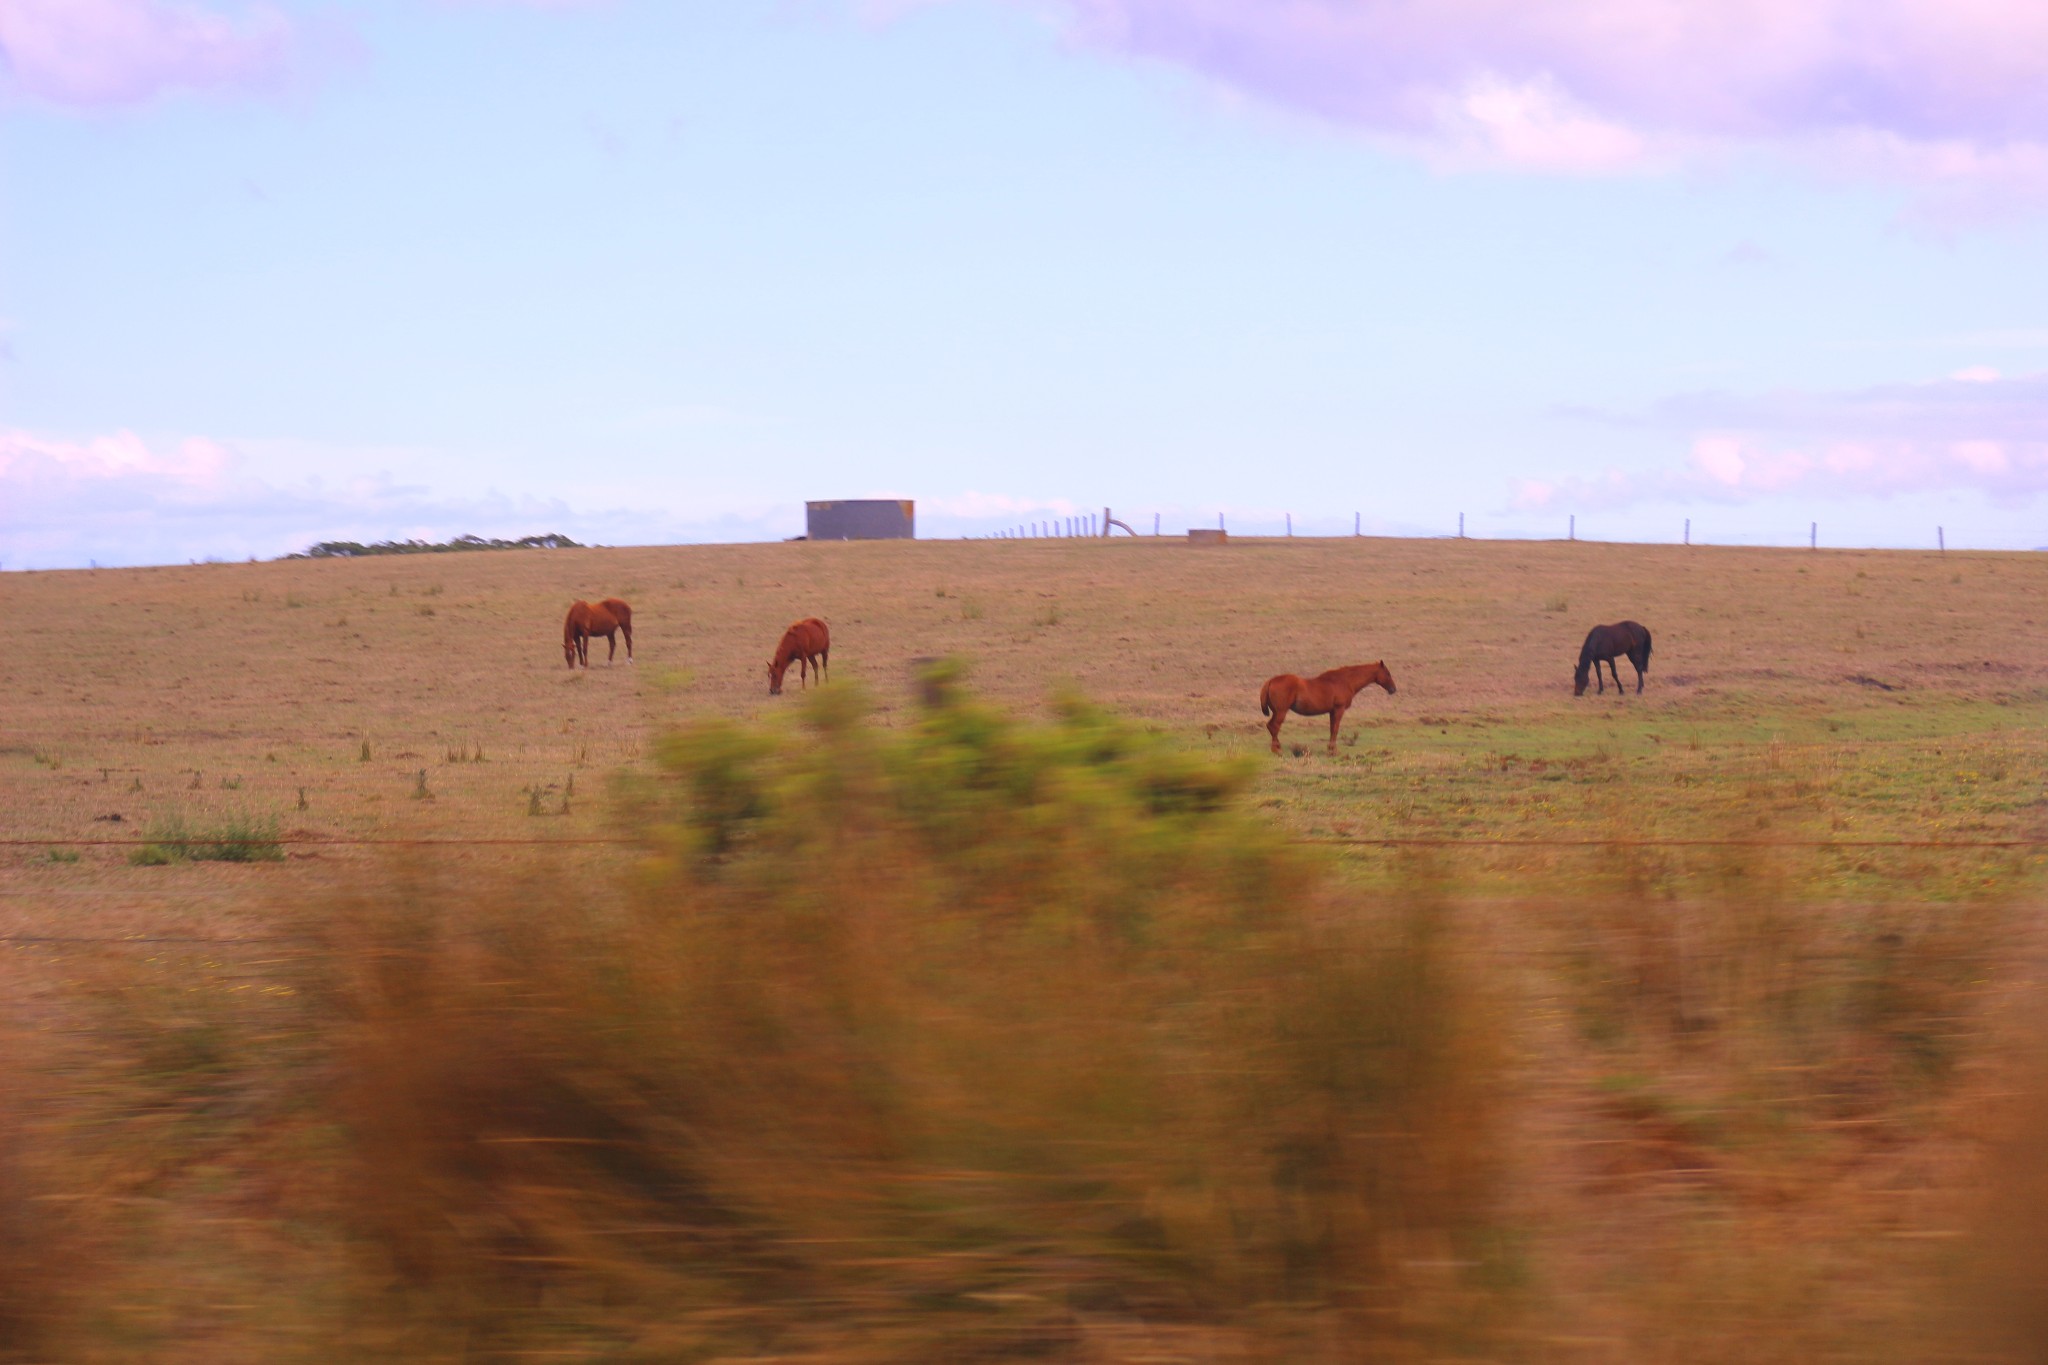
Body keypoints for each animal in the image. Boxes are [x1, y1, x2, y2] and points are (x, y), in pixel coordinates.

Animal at [1253, 663, 1400, 757]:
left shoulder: (1332, 711)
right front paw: (1333, 750)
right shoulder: (1339, 710)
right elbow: (1335, 729)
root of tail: (1270, 681)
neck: (1345, 681)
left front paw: (1330, 749)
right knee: (1274, 726)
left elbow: (1331, 729)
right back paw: (1277, 749)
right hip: (1281, 712)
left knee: (1271, 726)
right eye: (1387, 673)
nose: (1393, 689)